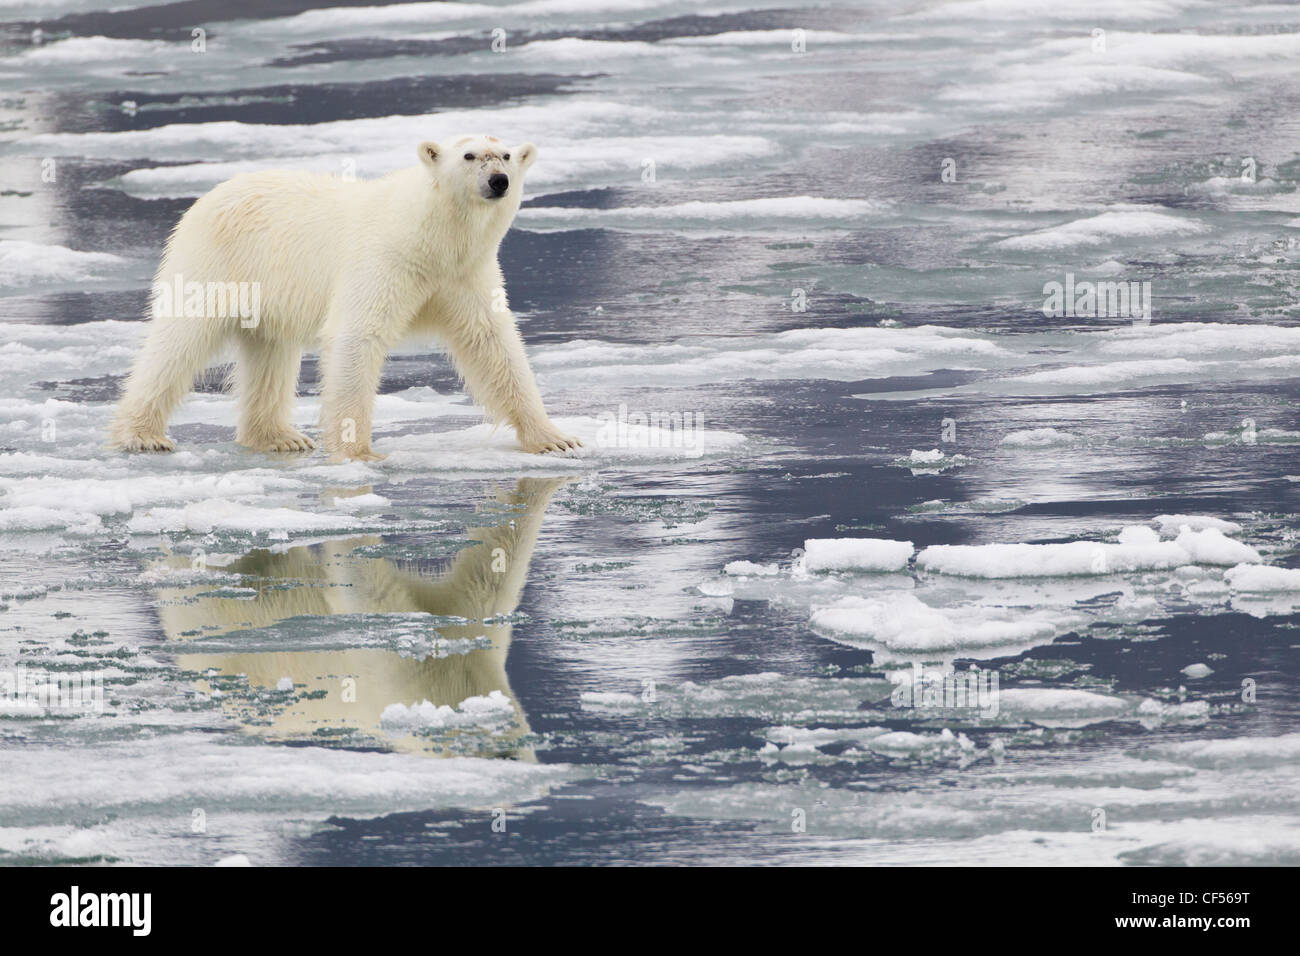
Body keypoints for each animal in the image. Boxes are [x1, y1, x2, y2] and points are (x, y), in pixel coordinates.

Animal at [111, 136, 579, 463]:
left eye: (506, 156)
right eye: (469, 156)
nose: (498, 181)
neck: (432, 238)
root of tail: (211, 194)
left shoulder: (464, 275)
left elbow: (493, 344)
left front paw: (555, 439)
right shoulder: (386, 260)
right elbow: (358, 335)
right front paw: (359, 452)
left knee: (271, 353)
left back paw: (280, 437)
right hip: (218, 260)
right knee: (181, 338)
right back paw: (143, 435)